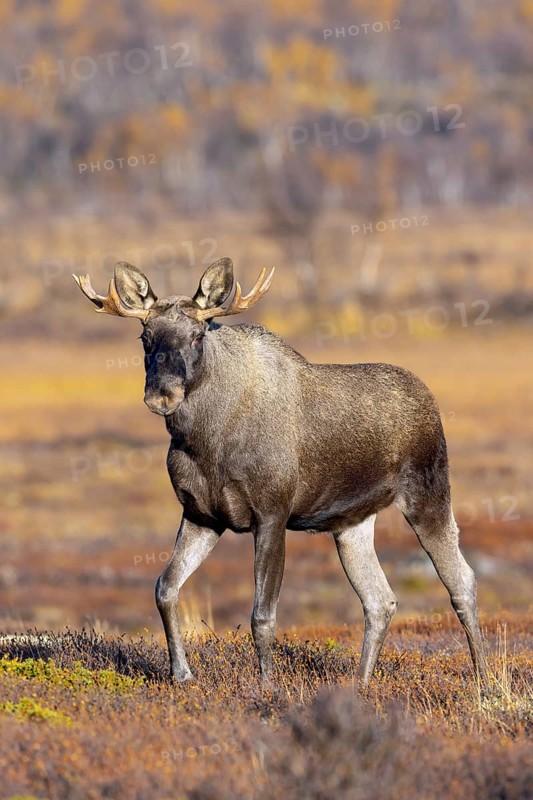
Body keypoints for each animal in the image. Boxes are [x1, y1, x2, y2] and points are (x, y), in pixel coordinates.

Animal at [73, 258, 489, 688]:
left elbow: (262, 616)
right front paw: (182, 674)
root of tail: (430, 399)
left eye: (197, 335)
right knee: (380, 599)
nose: (162, 395)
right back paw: (360, 684)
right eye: (145, 337)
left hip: (429, 494)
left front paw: (268, 687)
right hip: (352, 523)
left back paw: (485, 679)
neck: (206, 441)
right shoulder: (202, 516)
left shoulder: (271, 514)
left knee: (462, 581)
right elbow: (165, 588)